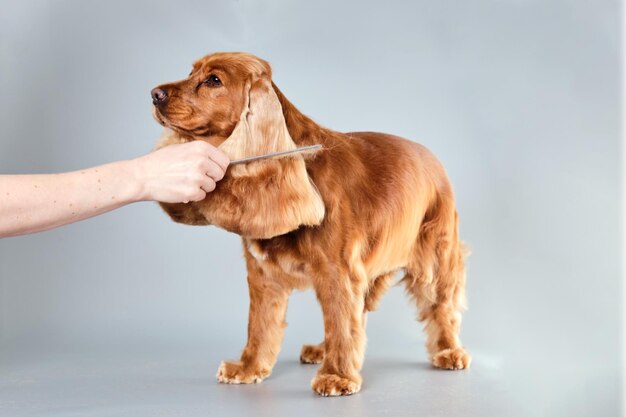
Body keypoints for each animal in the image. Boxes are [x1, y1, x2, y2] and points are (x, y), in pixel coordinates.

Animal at [150, 52, 468, 396]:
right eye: (190, 71)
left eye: (214, 80)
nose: (154, 94)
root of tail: (432, 157)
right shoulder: (263, 275)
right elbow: (260, 325)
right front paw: (248, 369)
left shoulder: (337, 271)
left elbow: (340, 324)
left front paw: (337, 376)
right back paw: (321, 349)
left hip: (435, 255)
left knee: (440, 306)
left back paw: (449, 351)